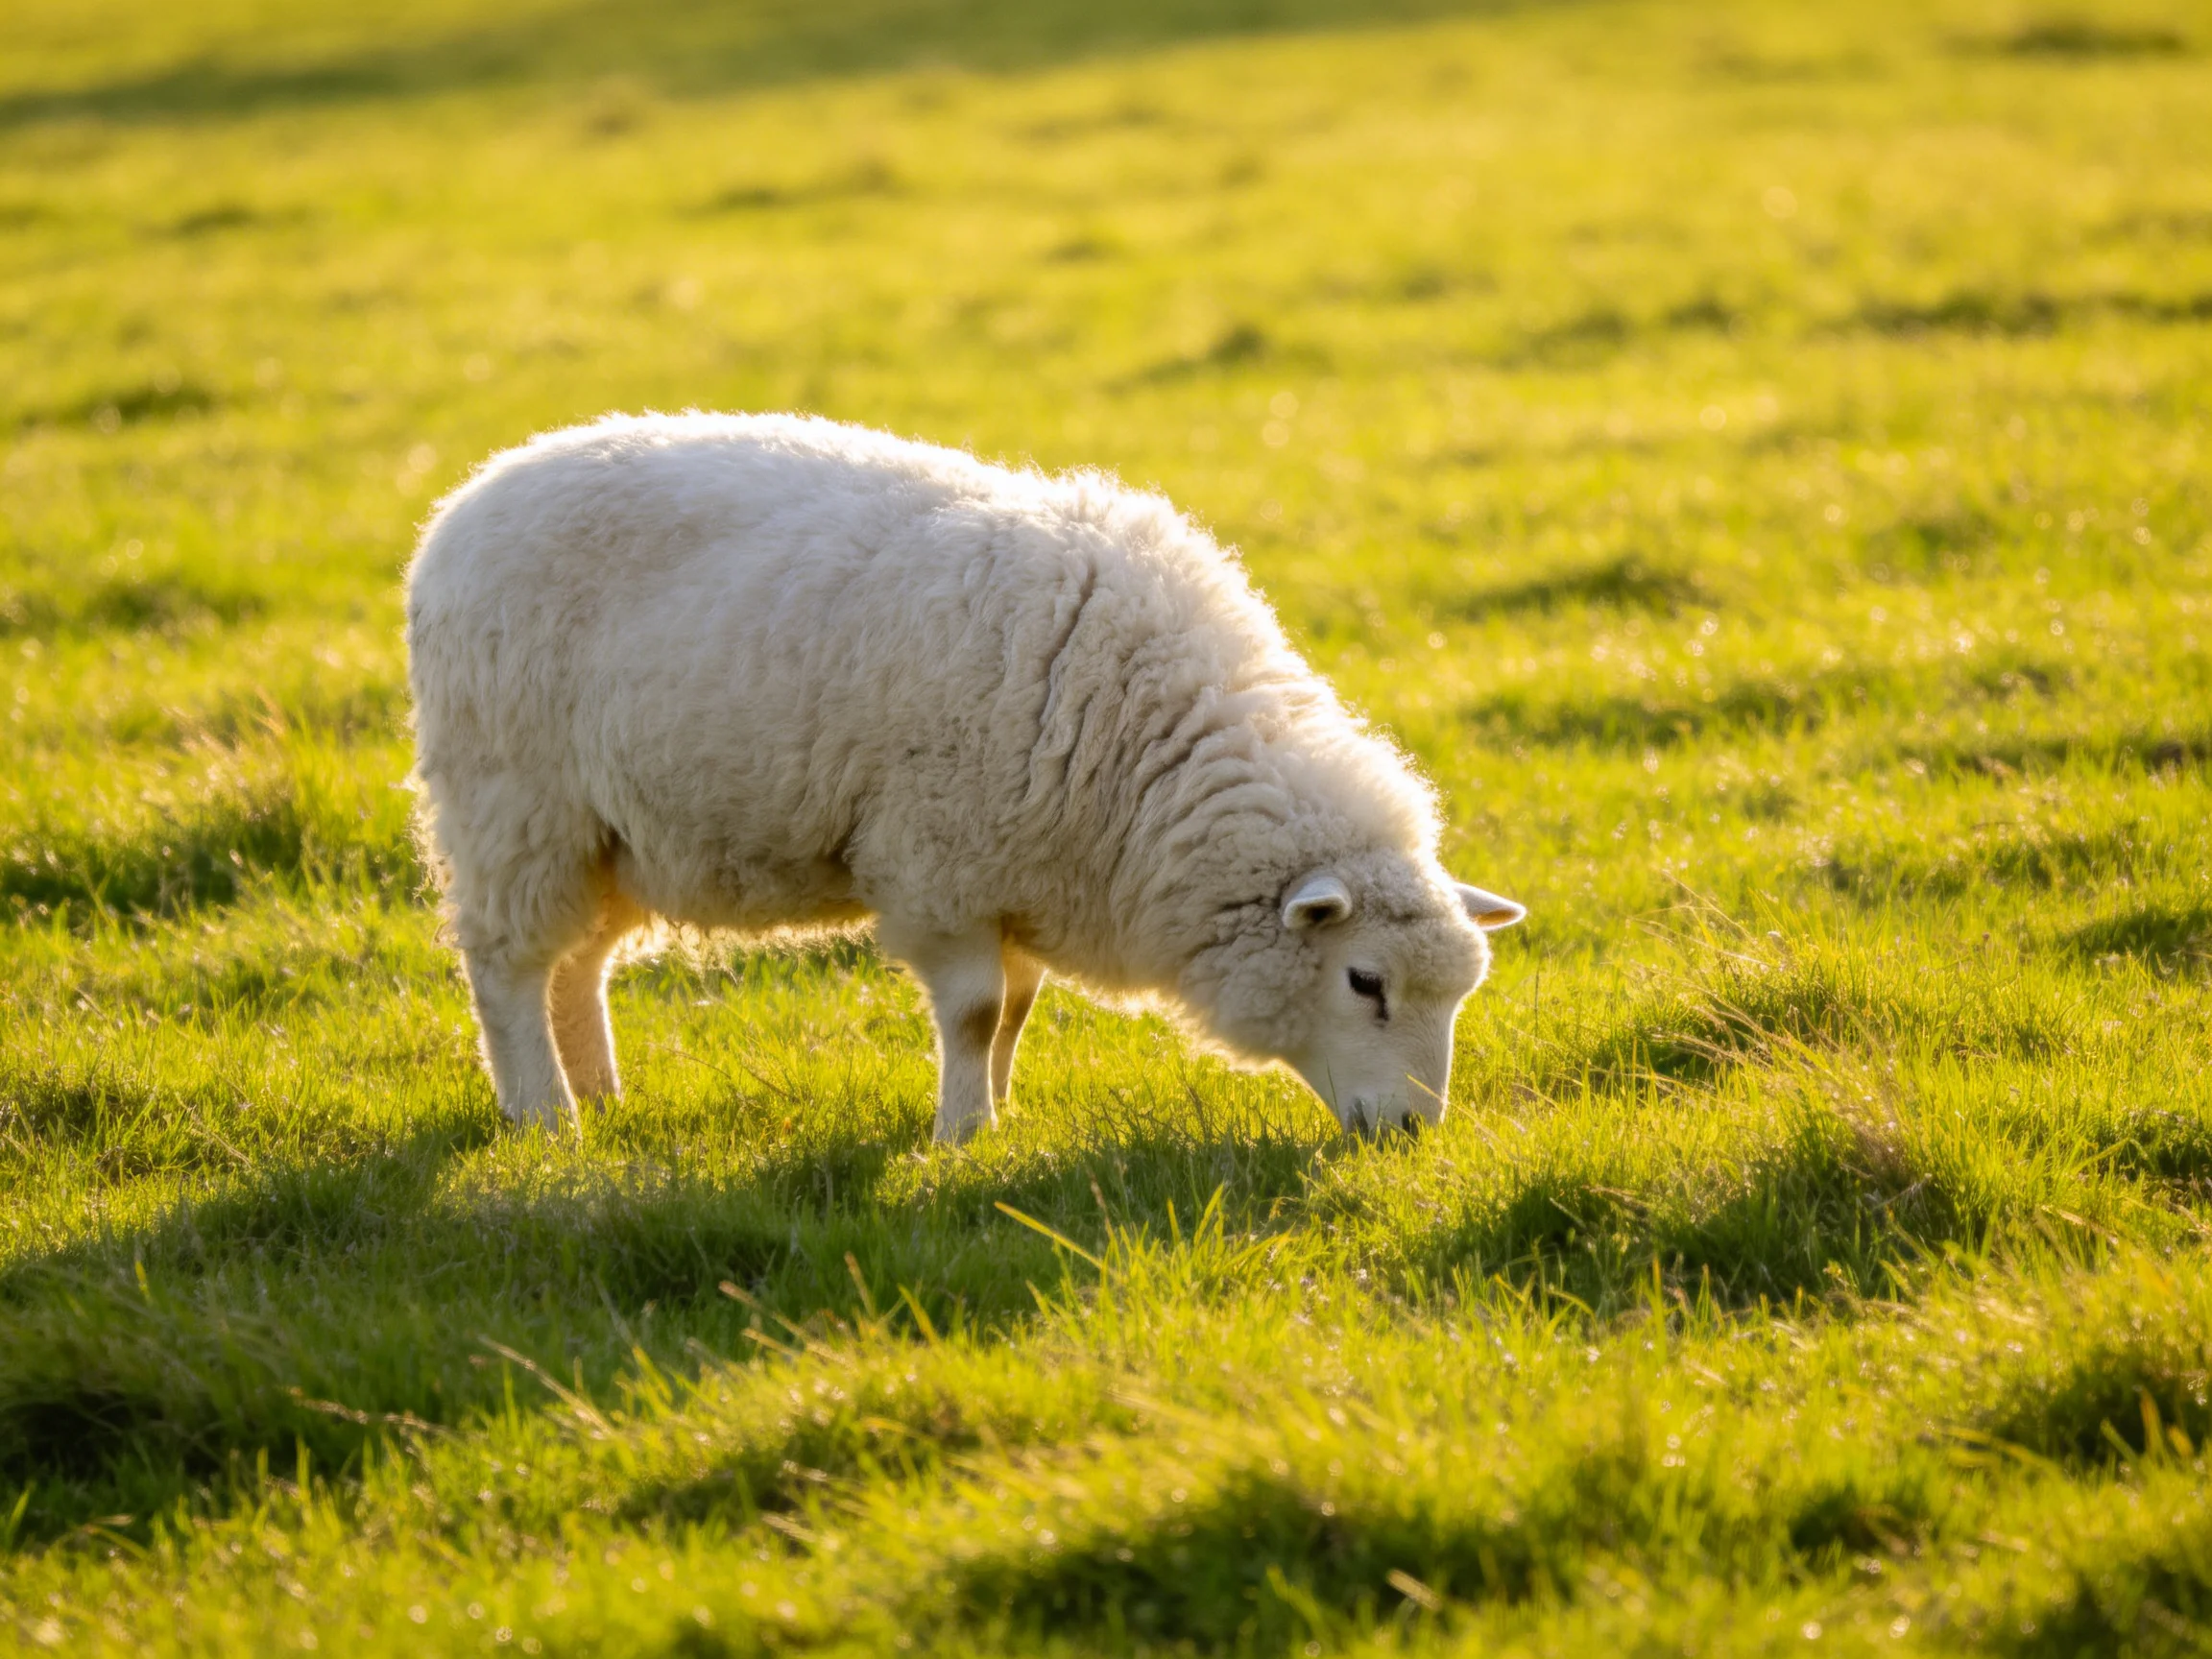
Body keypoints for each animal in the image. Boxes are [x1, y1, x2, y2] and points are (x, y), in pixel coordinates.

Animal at [404, 412, 1524, 1142]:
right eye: (1366, 982)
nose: (1414, 1133)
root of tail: (463, 505)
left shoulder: (1018, 873)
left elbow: (1019, 1008)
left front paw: (1001, 1110)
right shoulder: (939, 866)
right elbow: (979, 1011)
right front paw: (960, 1135)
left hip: (609, 836)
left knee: (578, 965)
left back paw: (599, 1095)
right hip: (514, 805)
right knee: (506, 967)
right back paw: (544, 1116)